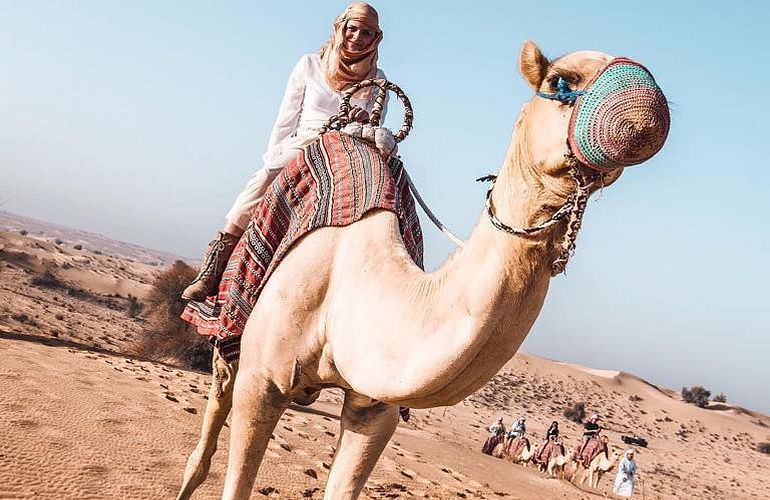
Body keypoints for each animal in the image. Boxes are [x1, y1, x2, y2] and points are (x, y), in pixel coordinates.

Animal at [174, 40, 664, 500]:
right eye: (561, 81)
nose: (646, 104)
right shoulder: (262, 382)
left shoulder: (375, 410)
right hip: (231, 345)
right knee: (203, 446)